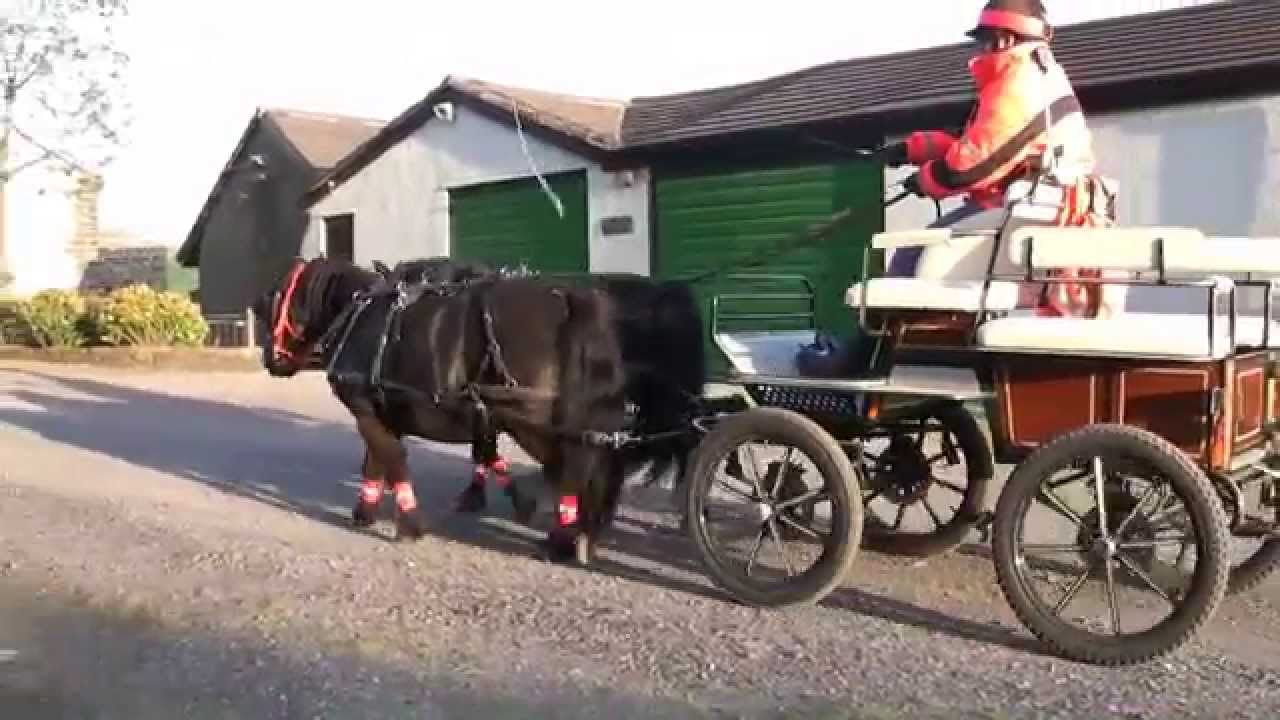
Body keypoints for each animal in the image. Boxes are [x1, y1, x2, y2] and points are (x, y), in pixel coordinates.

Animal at [252, 255, 631, 564]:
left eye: (274, 299)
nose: (269, 358)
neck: (357, 317)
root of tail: (568, 301)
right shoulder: (383, 411)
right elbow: (377, 461)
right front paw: (366, 509)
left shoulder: (365, 410)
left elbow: (392, 460)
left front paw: (409, 524)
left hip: (533, 420)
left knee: (572, 468)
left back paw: (563, 538)